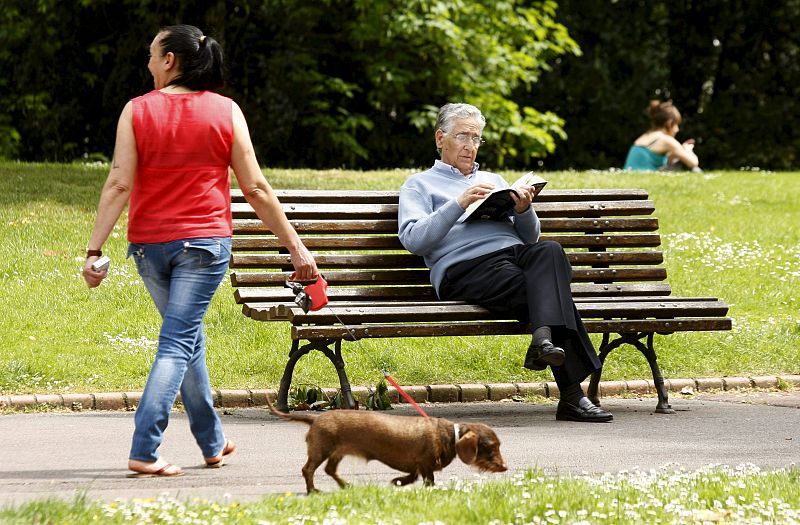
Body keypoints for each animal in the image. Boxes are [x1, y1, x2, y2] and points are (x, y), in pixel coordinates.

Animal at [268, 398, 506, 492]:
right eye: (491, 446)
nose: (505, 468)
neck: (450, 435)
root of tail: (315, 418)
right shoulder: (425, 463)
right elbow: (428, 480)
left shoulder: (417, 465)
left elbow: (412, 476)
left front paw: (398, 482)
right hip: (321, 450)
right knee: (308, 469)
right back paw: (313, 490)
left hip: (337, 452)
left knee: (329, 470)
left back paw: (346, 486)